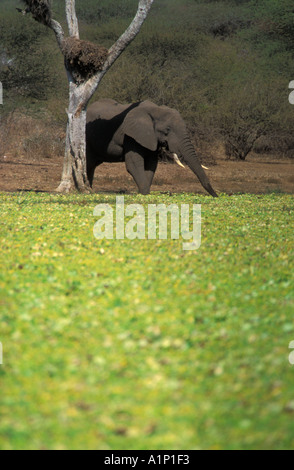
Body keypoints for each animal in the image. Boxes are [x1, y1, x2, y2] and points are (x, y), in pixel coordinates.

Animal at [86, 99, 217, 196]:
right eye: (167, 130)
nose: (216, 195)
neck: (155, 109)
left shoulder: (152, 139)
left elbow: (151, 164)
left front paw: (144, 194)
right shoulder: (131, 135)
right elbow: (134, 164)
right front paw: (144, 194)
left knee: (92, 166)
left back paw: (90, 190)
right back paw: (89, 191)